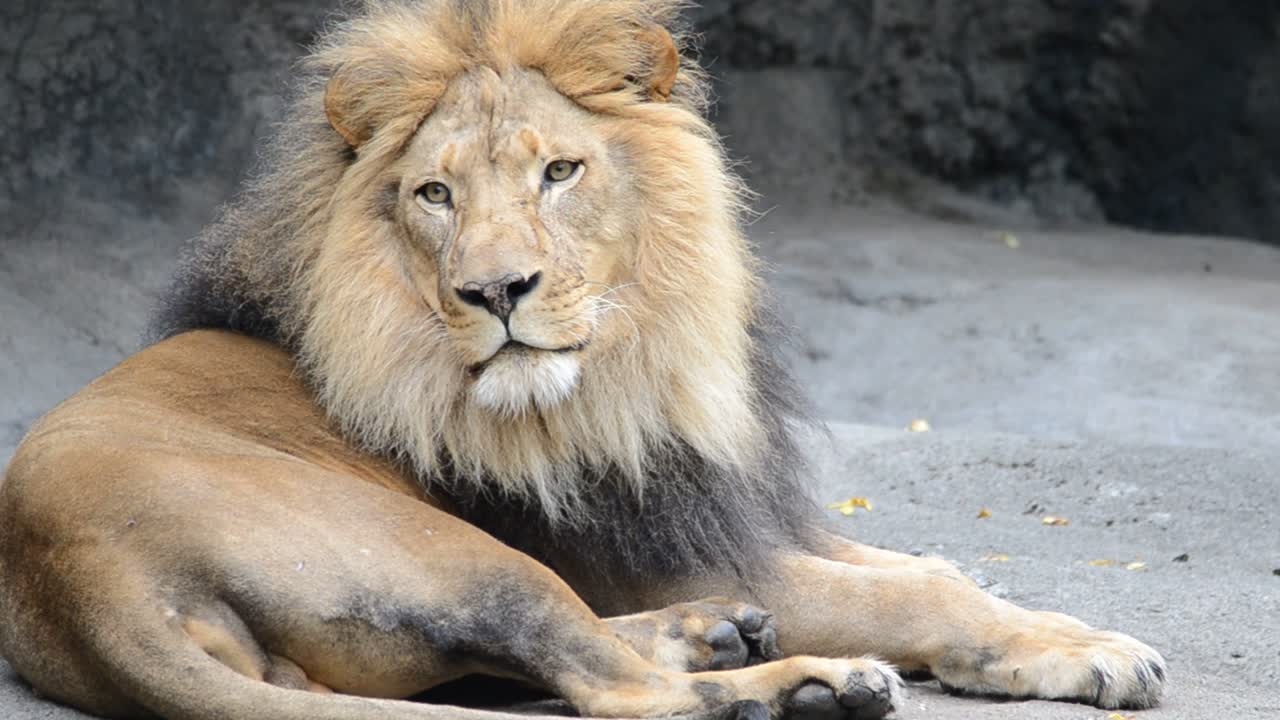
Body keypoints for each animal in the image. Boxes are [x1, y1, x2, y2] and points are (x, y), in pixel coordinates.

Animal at [0, 1, 1166, 719]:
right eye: (436, 194)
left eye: (559, 172)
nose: (495, 291)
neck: (630, 367)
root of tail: (80, 580)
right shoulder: (650, 543)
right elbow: (915, 599)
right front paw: (1097, 650)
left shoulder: (715, 504)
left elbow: (921, 567)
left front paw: (1020, 609)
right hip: (455, 552)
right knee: (615, 693)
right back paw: (801, 684)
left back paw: (721, 636)